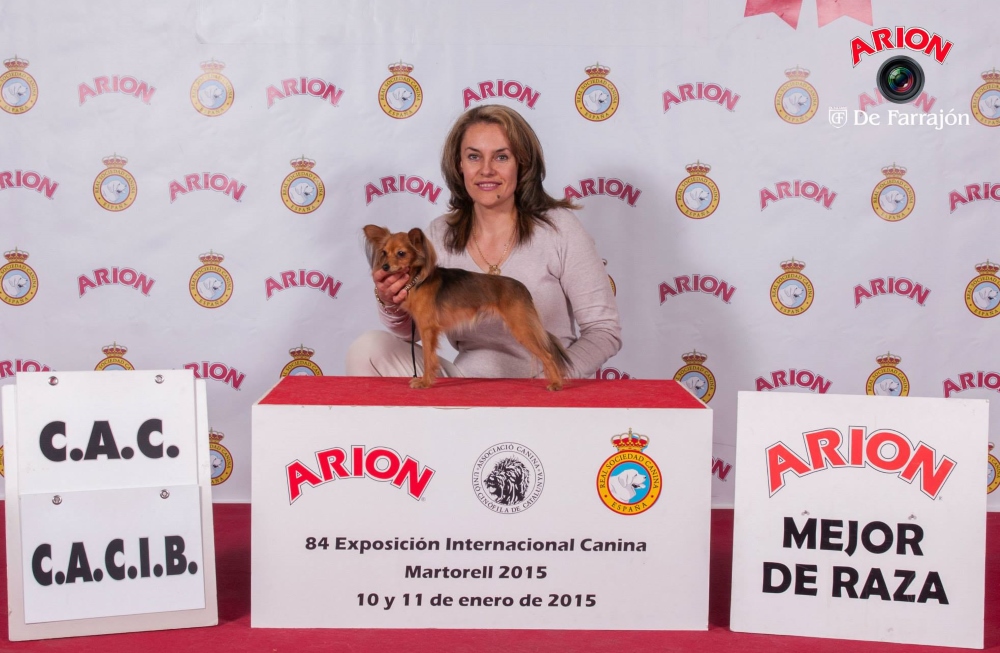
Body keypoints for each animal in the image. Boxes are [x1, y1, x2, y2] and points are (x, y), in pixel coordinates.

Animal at [363, 225, 570, 390]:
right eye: (384, 253)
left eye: (401, 253)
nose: (385, 267)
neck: (417, 280)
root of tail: (522, 288)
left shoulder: (427, 329)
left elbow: (428, 357)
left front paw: (425, 382)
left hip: (522, 328)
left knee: (548, 355)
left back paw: (556, 383)